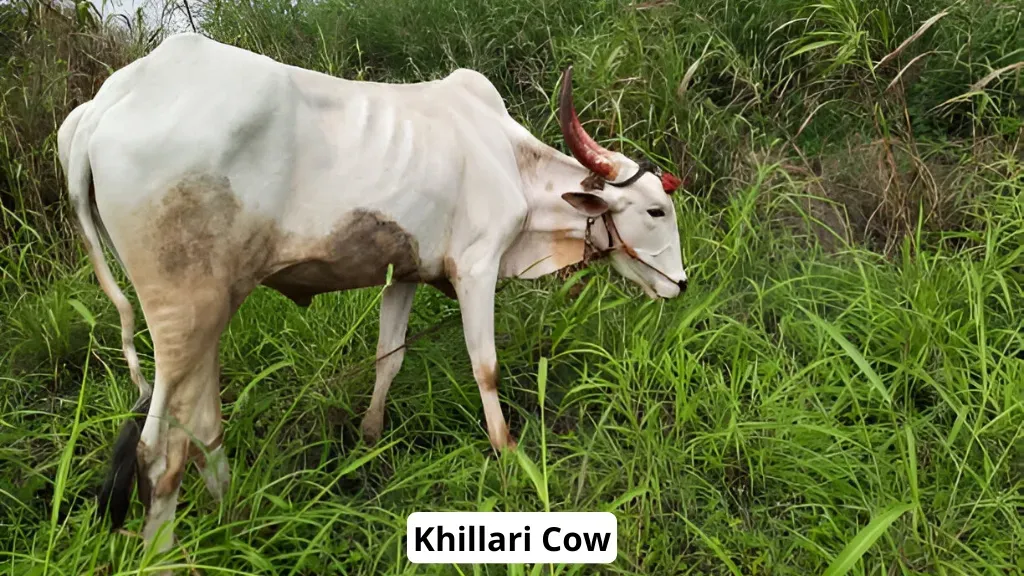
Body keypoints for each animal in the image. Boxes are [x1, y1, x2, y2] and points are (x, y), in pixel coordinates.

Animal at [57, 32, 687, 559]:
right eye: (657, 210)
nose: (680, 284)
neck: (511, 161)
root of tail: (106, 104)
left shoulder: (404, 272)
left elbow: (390, 357)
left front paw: (369, 438)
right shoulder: (477, 266)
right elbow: (485, 367)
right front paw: (508, 453)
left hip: (214, 307)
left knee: (203, 424)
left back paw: (230, 511)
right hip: (185, 312)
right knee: (156, 453)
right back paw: (164, 556)